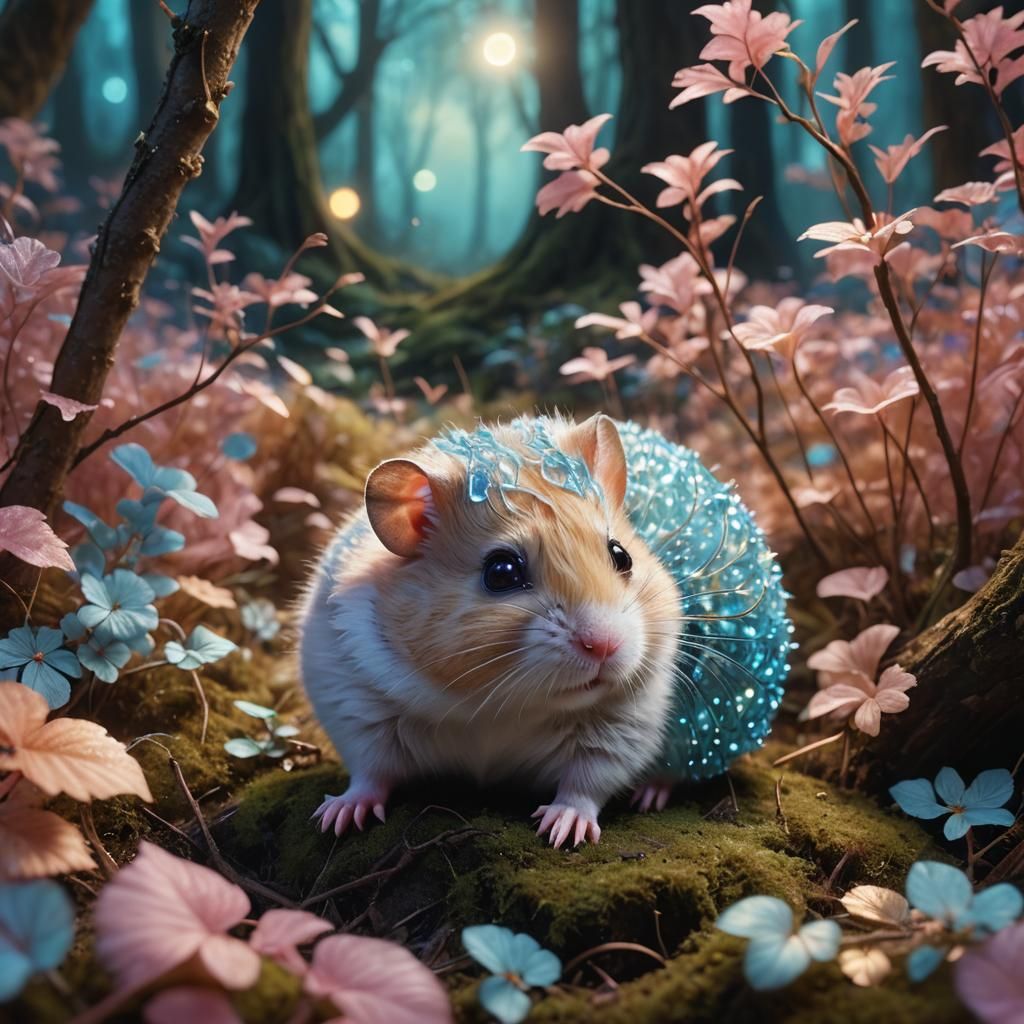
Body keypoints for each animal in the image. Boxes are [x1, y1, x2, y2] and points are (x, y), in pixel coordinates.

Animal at [298, 413, 682, 848]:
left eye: (621, 555)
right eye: (501, 572)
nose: (605, 646)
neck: (499, 703)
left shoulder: (621, 726)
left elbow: (584, 784)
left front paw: (562, 832)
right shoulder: (358, 712)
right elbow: (370, 774)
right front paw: (336, 818)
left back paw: (650, 795)